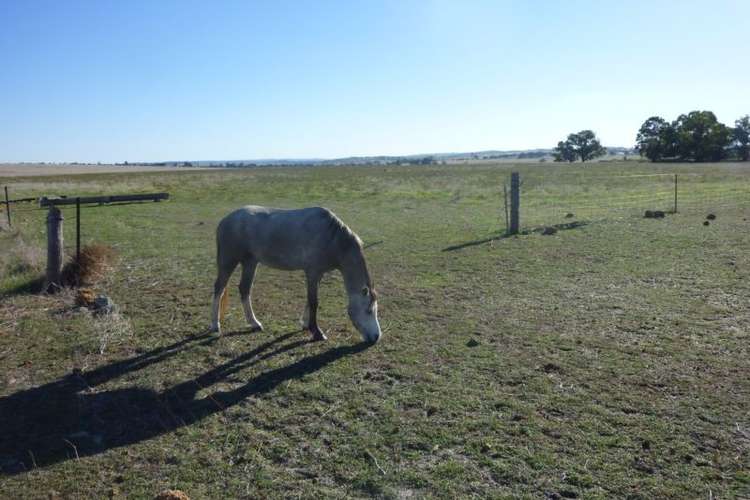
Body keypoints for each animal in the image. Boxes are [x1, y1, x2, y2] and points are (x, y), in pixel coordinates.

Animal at [210, 206, 382, 344]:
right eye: (368, 310)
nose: (376, 337)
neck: (332, 238)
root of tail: (226, 220)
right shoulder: (312, 273)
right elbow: (314, 302)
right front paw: (317, 332)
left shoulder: (318, 274)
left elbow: (309, 300)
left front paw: (305, 324)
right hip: (228, 261)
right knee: (219, 288)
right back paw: (215, 325)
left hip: (250, 263)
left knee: (244, 289)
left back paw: (254, 323)